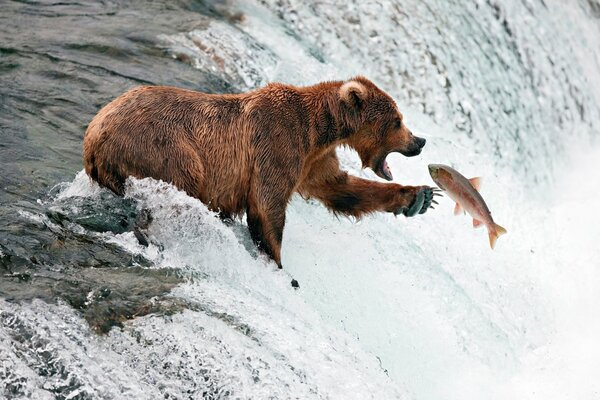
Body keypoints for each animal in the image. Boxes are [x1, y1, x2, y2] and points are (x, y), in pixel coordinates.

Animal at [83, 76, 436, 268]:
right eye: (397, 120)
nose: (419, 141)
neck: (320, 130)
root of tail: (94, 135)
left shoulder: (314, 160)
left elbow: (341, 189)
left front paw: (419, 197)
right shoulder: (277, 144)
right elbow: (267, 207)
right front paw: (277, 263)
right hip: (165, 148)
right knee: (180, 184)